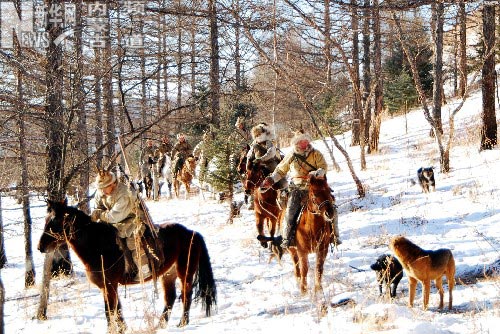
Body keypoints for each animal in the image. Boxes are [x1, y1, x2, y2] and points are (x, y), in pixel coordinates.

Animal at [37, 200, 217, 332]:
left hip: (185, 272)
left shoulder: (110, 285)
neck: (98, 246)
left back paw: (182, 323)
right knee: (170, 298)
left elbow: (110, 310)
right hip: (168, 275)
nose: (40, 247)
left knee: (186, 295)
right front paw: (122, 328)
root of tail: (191, 232)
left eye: (54, 221)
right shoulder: (107, 287)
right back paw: (161, 324)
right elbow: (116, 309)